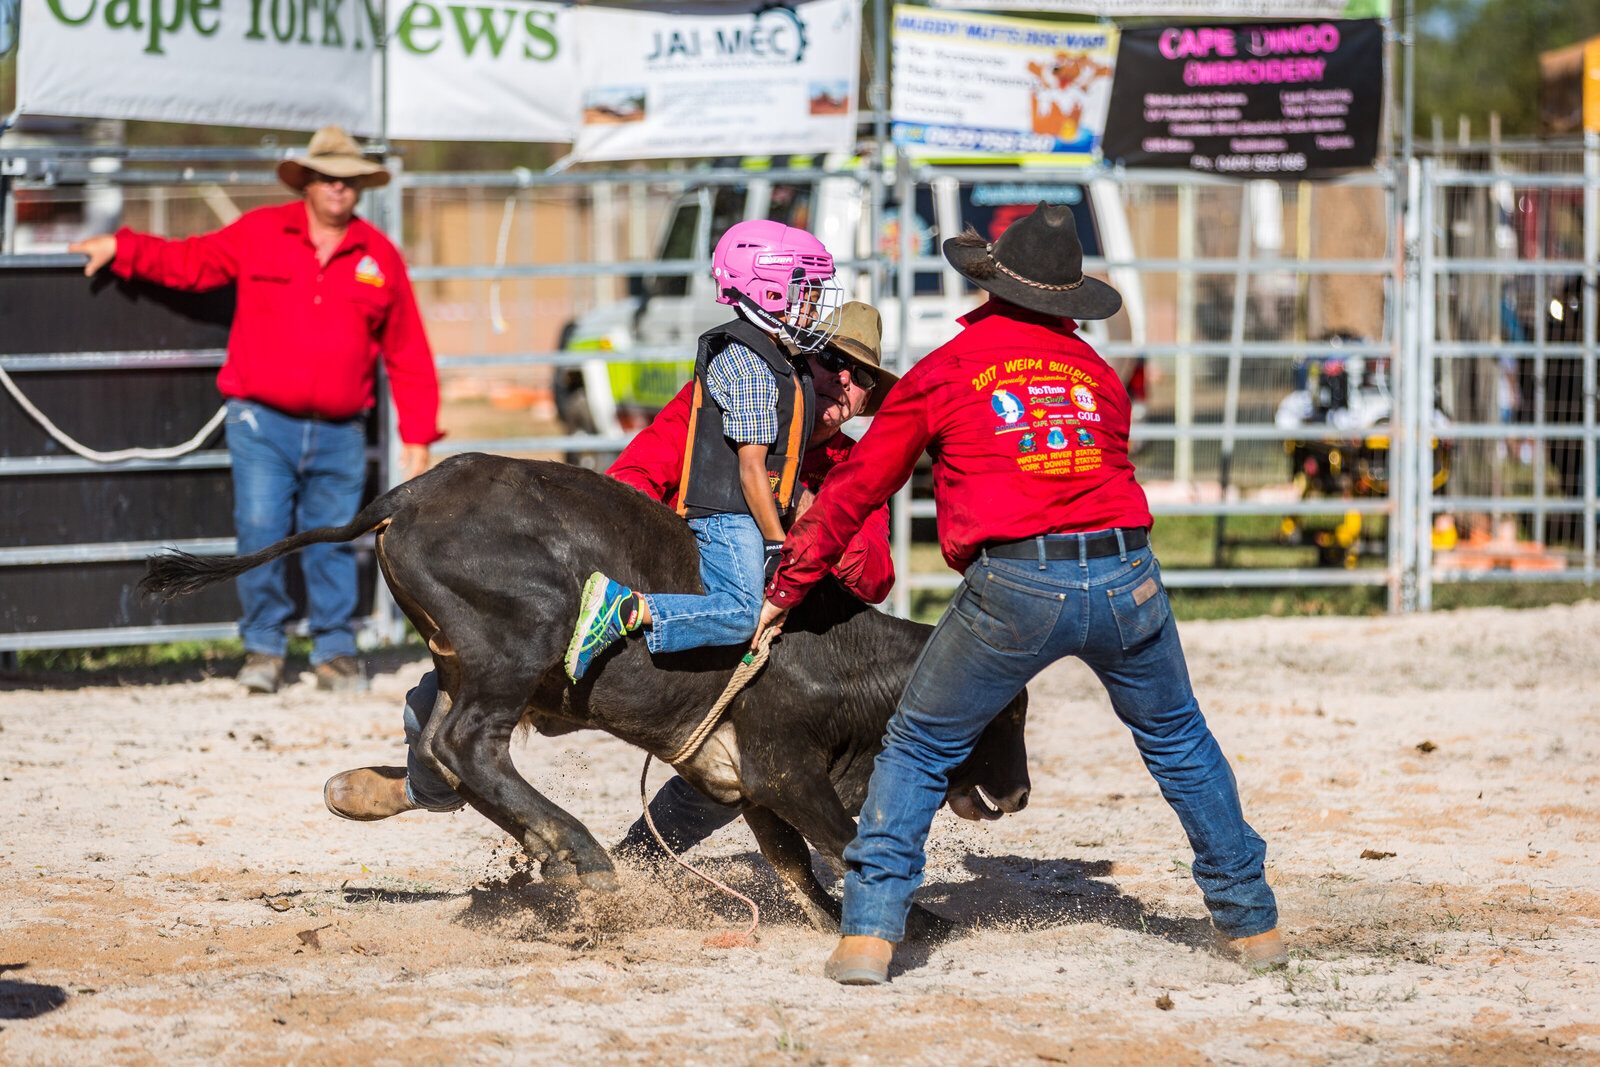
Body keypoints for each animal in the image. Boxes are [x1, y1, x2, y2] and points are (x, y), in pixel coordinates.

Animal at [144, 454, 1030, 927]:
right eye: (1005, 709)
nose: (1020, 792)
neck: (833, 656)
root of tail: (408, 495)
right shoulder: (785, 771)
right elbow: (842, 839)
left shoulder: (746, 783)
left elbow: (795, 863)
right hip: (519, 639)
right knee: (467, 746)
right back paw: (581, 854)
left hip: (469, 664)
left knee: (445, 748)